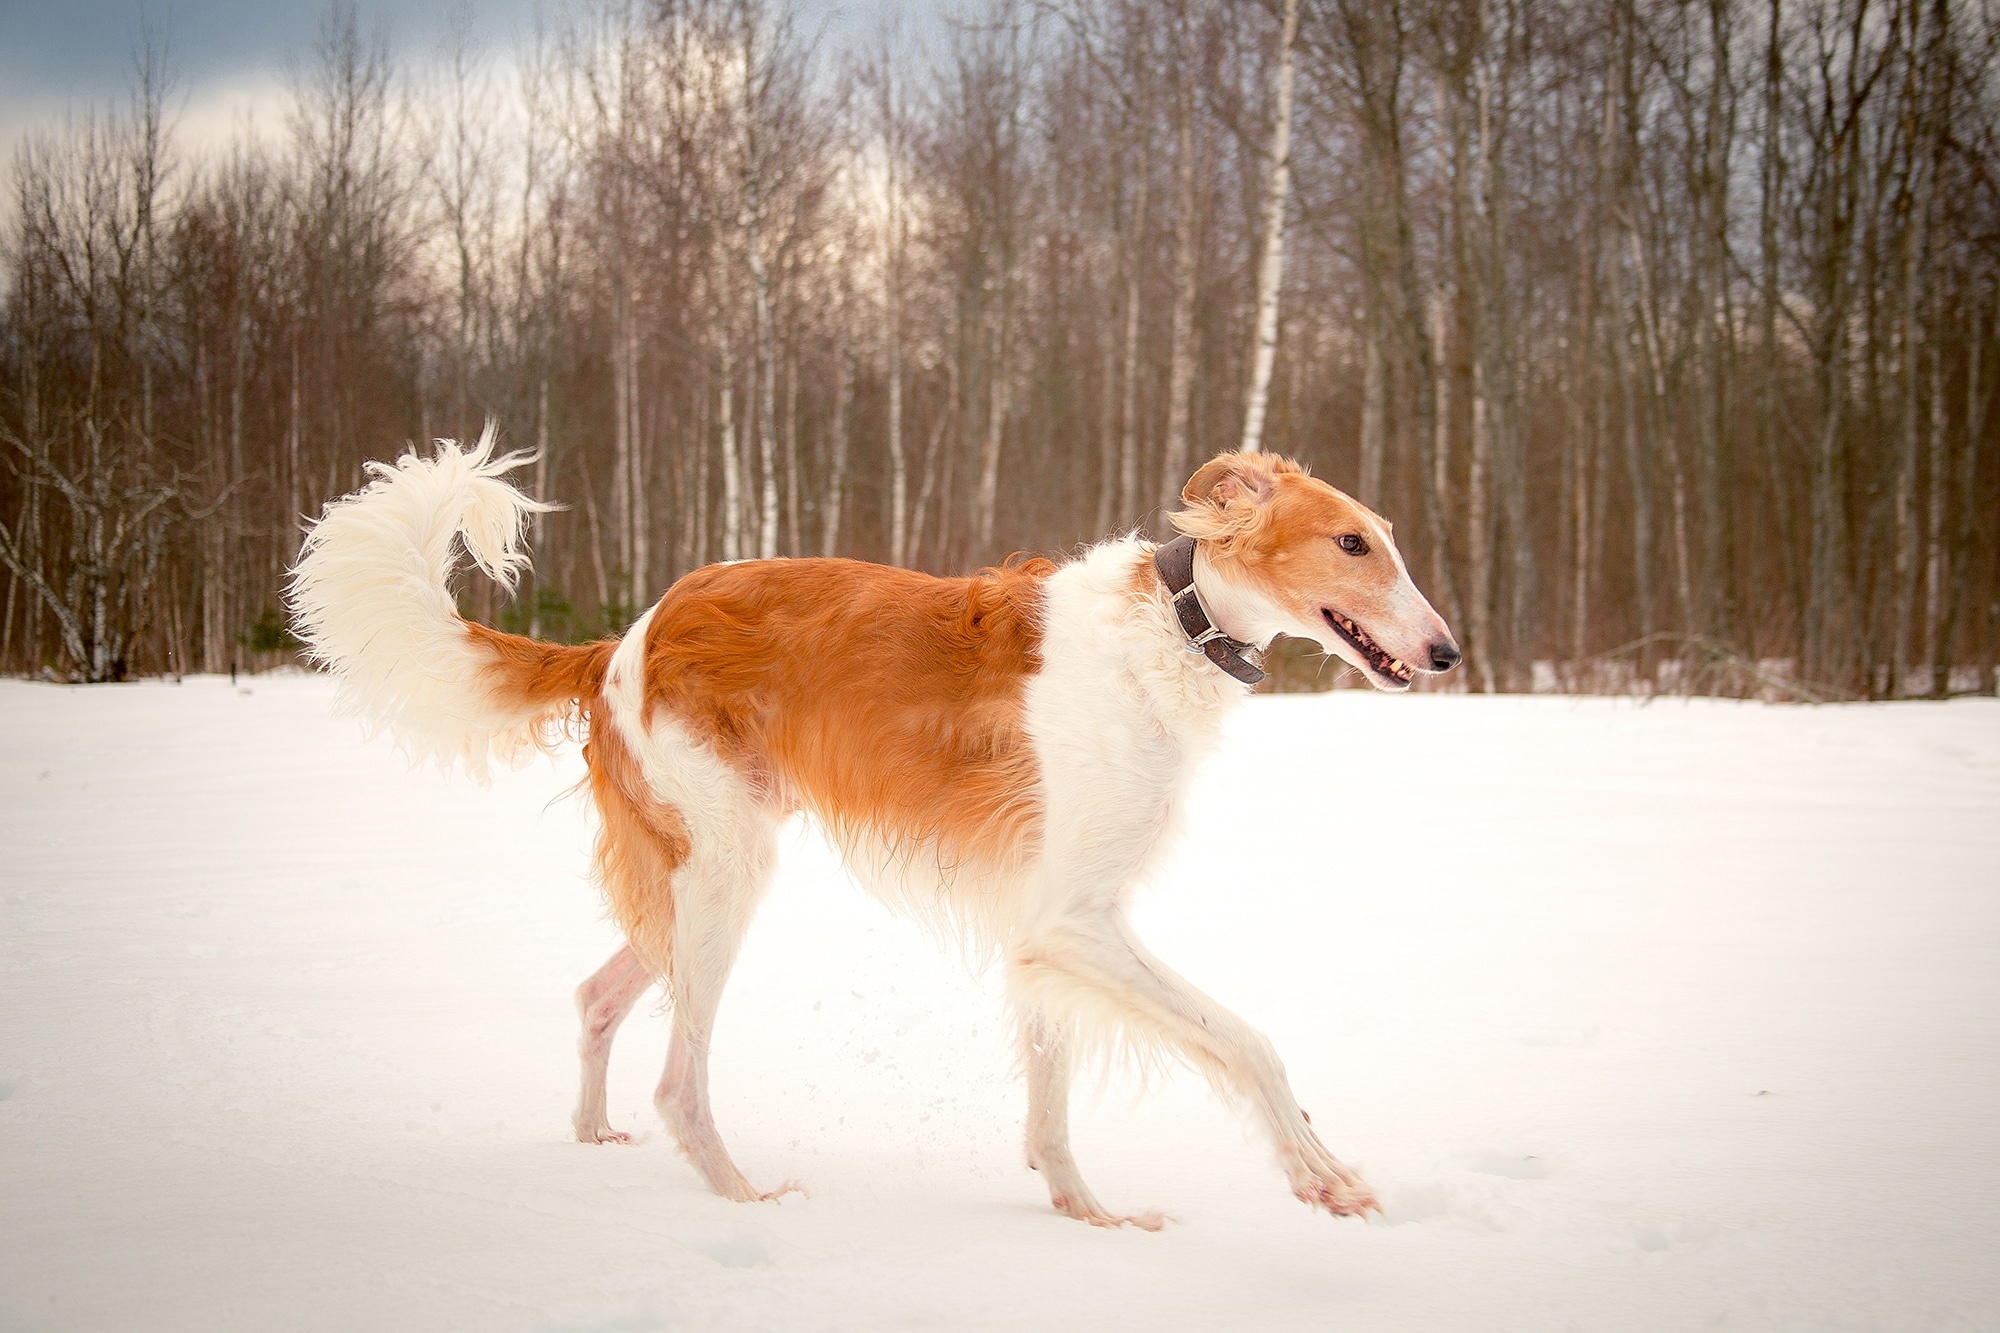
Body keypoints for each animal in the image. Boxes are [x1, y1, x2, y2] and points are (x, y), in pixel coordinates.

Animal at [290, 436, 1464, 1224]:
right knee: (679, 1080)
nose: (1449, 652)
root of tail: (624, 637)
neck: (1170, 628)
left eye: (1388, 541)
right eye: (1352, 542)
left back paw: (592, 1140)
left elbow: (1050, 1105)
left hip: (696, 870)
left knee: (595, 997)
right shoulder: (1072, 921)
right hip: (727, 872)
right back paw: (744, 1195)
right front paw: (1322, 1174)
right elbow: (1249, 1040)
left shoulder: (1045, 927)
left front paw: (1087, 1215)